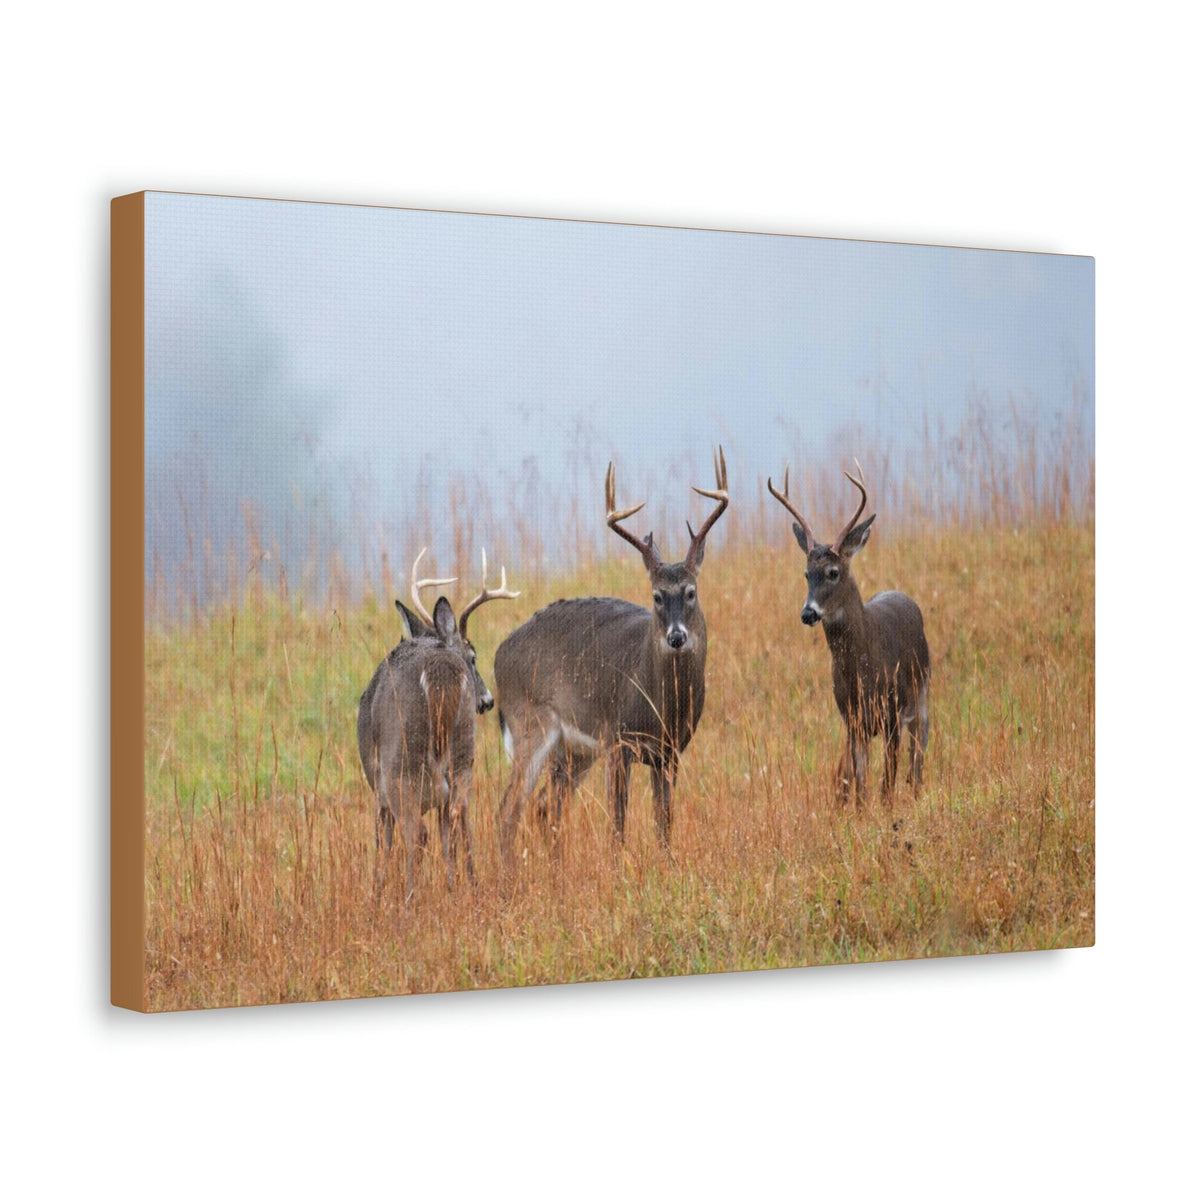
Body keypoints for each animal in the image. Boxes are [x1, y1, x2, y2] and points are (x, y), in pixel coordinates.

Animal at [357, 549, 518, 899]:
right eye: (473, 657)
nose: (487, 701)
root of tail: (438, 668)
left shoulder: (377, 786)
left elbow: (382, 842)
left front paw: (376, 894)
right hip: (463, 755)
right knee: (458, 817)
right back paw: (462, 888)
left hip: (401, 762)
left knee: (418, 833)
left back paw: (409, 900)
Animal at [493, 448, 728, 866]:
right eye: (656, 595)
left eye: (691, 591)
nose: (677, 637)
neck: (661, 703)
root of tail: (497, 655)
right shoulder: (619, 742)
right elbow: (617, 823)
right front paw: (619, 869)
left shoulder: (670, 752)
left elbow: (663, 820)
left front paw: (665, 865)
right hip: (531, 725)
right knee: (509, 810)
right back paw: (508, 876)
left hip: (573, 753)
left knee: (544, 806)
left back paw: (556, 869)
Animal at [768, 461, 930, 807]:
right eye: (806, 574)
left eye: (833, 572)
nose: (808, 613)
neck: (862, 672)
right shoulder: (851, 718)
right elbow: (860, 780)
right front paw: (860, 811)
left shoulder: (892, 712)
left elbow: (888, 779)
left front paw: (888, 809)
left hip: (922, 693)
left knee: (918, 752)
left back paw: (916, 792)